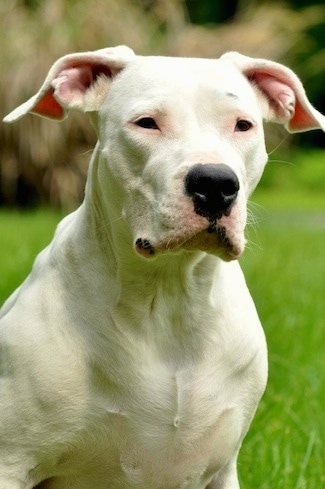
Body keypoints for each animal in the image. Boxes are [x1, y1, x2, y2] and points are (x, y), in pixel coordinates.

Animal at [0, 46, 324, 488]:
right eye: (147, 122)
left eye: (243, 125)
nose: (216, 183)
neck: (169, 297)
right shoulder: (12, 462)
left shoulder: (222, 470)